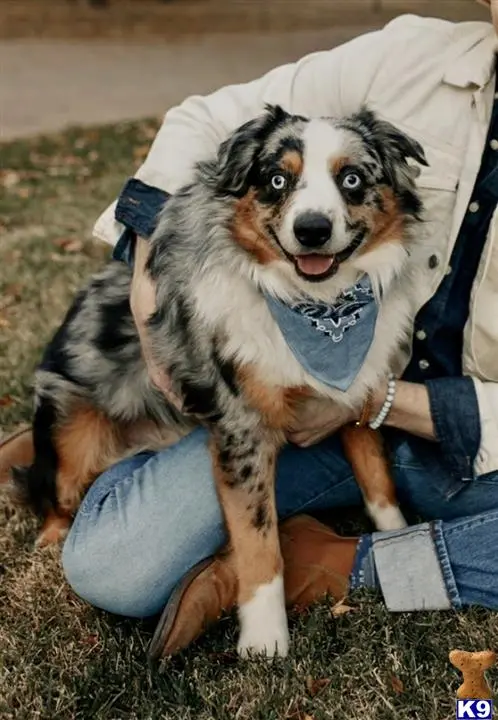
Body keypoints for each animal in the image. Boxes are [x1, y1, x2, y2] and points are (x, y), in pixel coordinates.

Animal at [9, 105, 426, 660]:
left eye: (352, 179)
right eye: (277, 180)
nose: (312, 230)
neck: (317, 310)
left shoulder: (355, 391)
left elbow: (377, 479)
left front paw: (397, 535)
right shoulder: (240, 427)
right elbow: (257, 539)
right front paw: (265, 639)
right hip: (70, 429)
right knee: (53, 491)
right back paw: (51, 539)